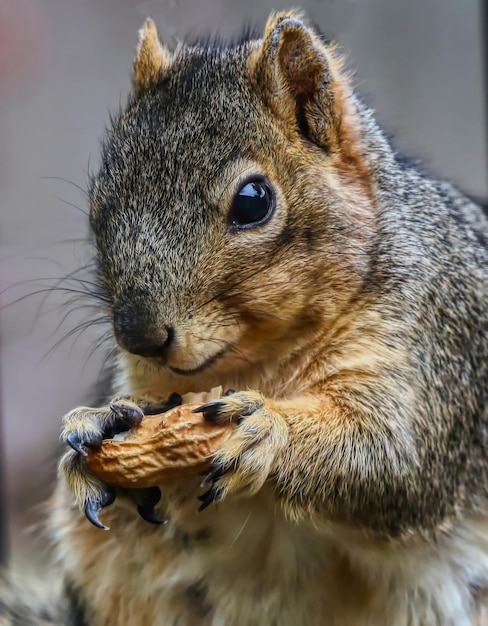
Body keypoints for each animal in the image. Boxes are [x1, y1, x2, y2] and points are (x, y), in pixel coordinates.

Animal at [3, 9, 488, 624]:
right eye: (99, 205)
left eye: (254, 200)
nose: (139, 335)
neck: (260, 363)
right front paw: (102, 425)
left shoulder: (435, 350)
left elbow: (396, 458)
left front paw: (266, 430)